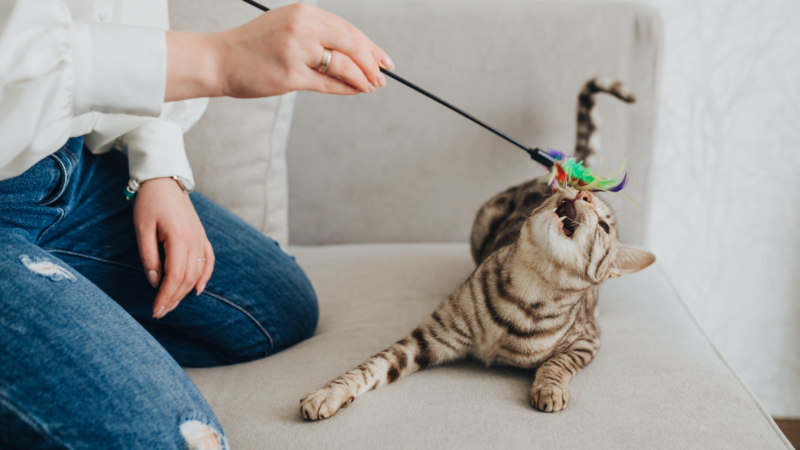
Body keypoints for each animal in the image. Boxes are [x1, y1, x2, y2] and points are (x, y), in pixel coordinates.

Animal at [300, 76, 656, 418]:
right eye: (561, 191)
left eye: (605, 226)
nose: (581, 194)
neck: (529, 290)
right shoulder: (425, 338)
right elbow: (369, 366)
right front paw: (328, 393)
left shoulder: (588, 341)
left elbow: (558, 363)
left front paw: (550, 389)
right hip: (482, 219)